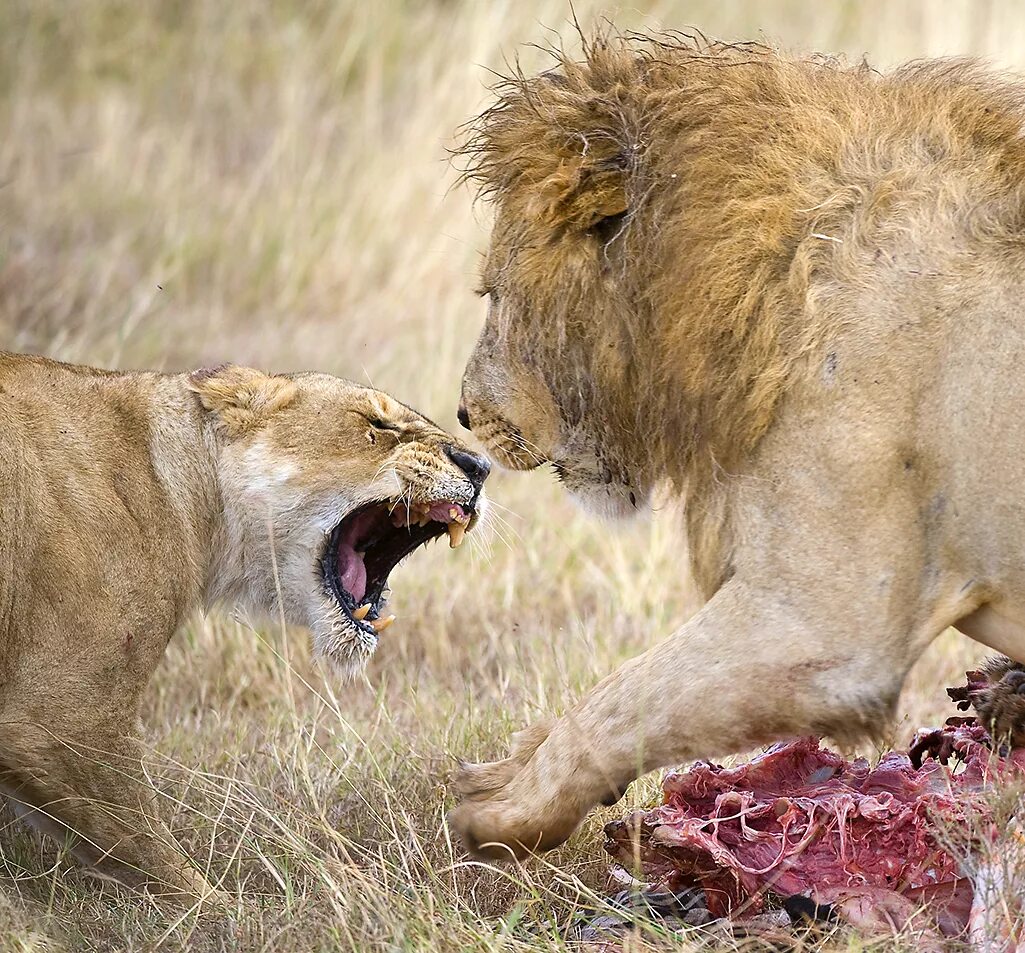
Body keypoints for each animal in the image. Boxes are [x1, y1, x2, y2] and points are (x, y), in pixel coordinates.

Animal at [451, 33, 1025, 856]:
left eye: (493, 293)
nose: (464, 414)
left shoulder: (824, 624)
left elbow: (629, 696)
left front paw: (504, 812)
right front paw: (511, 764)